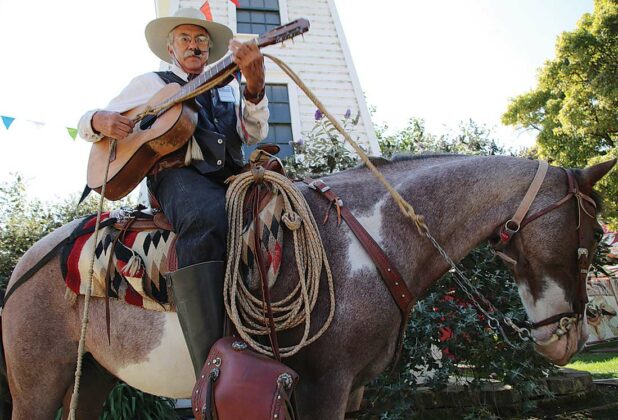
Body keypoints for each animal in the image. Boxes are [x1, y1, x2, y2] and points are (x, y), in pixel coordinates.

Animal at [2, 155, 612, 420]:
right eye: (590, 239)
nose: (569, 338)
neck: (371, 237)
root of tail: (26, 263)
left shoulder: (353, 391)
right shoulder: (324, 386)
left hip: (90, 379)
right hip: (38, 383)